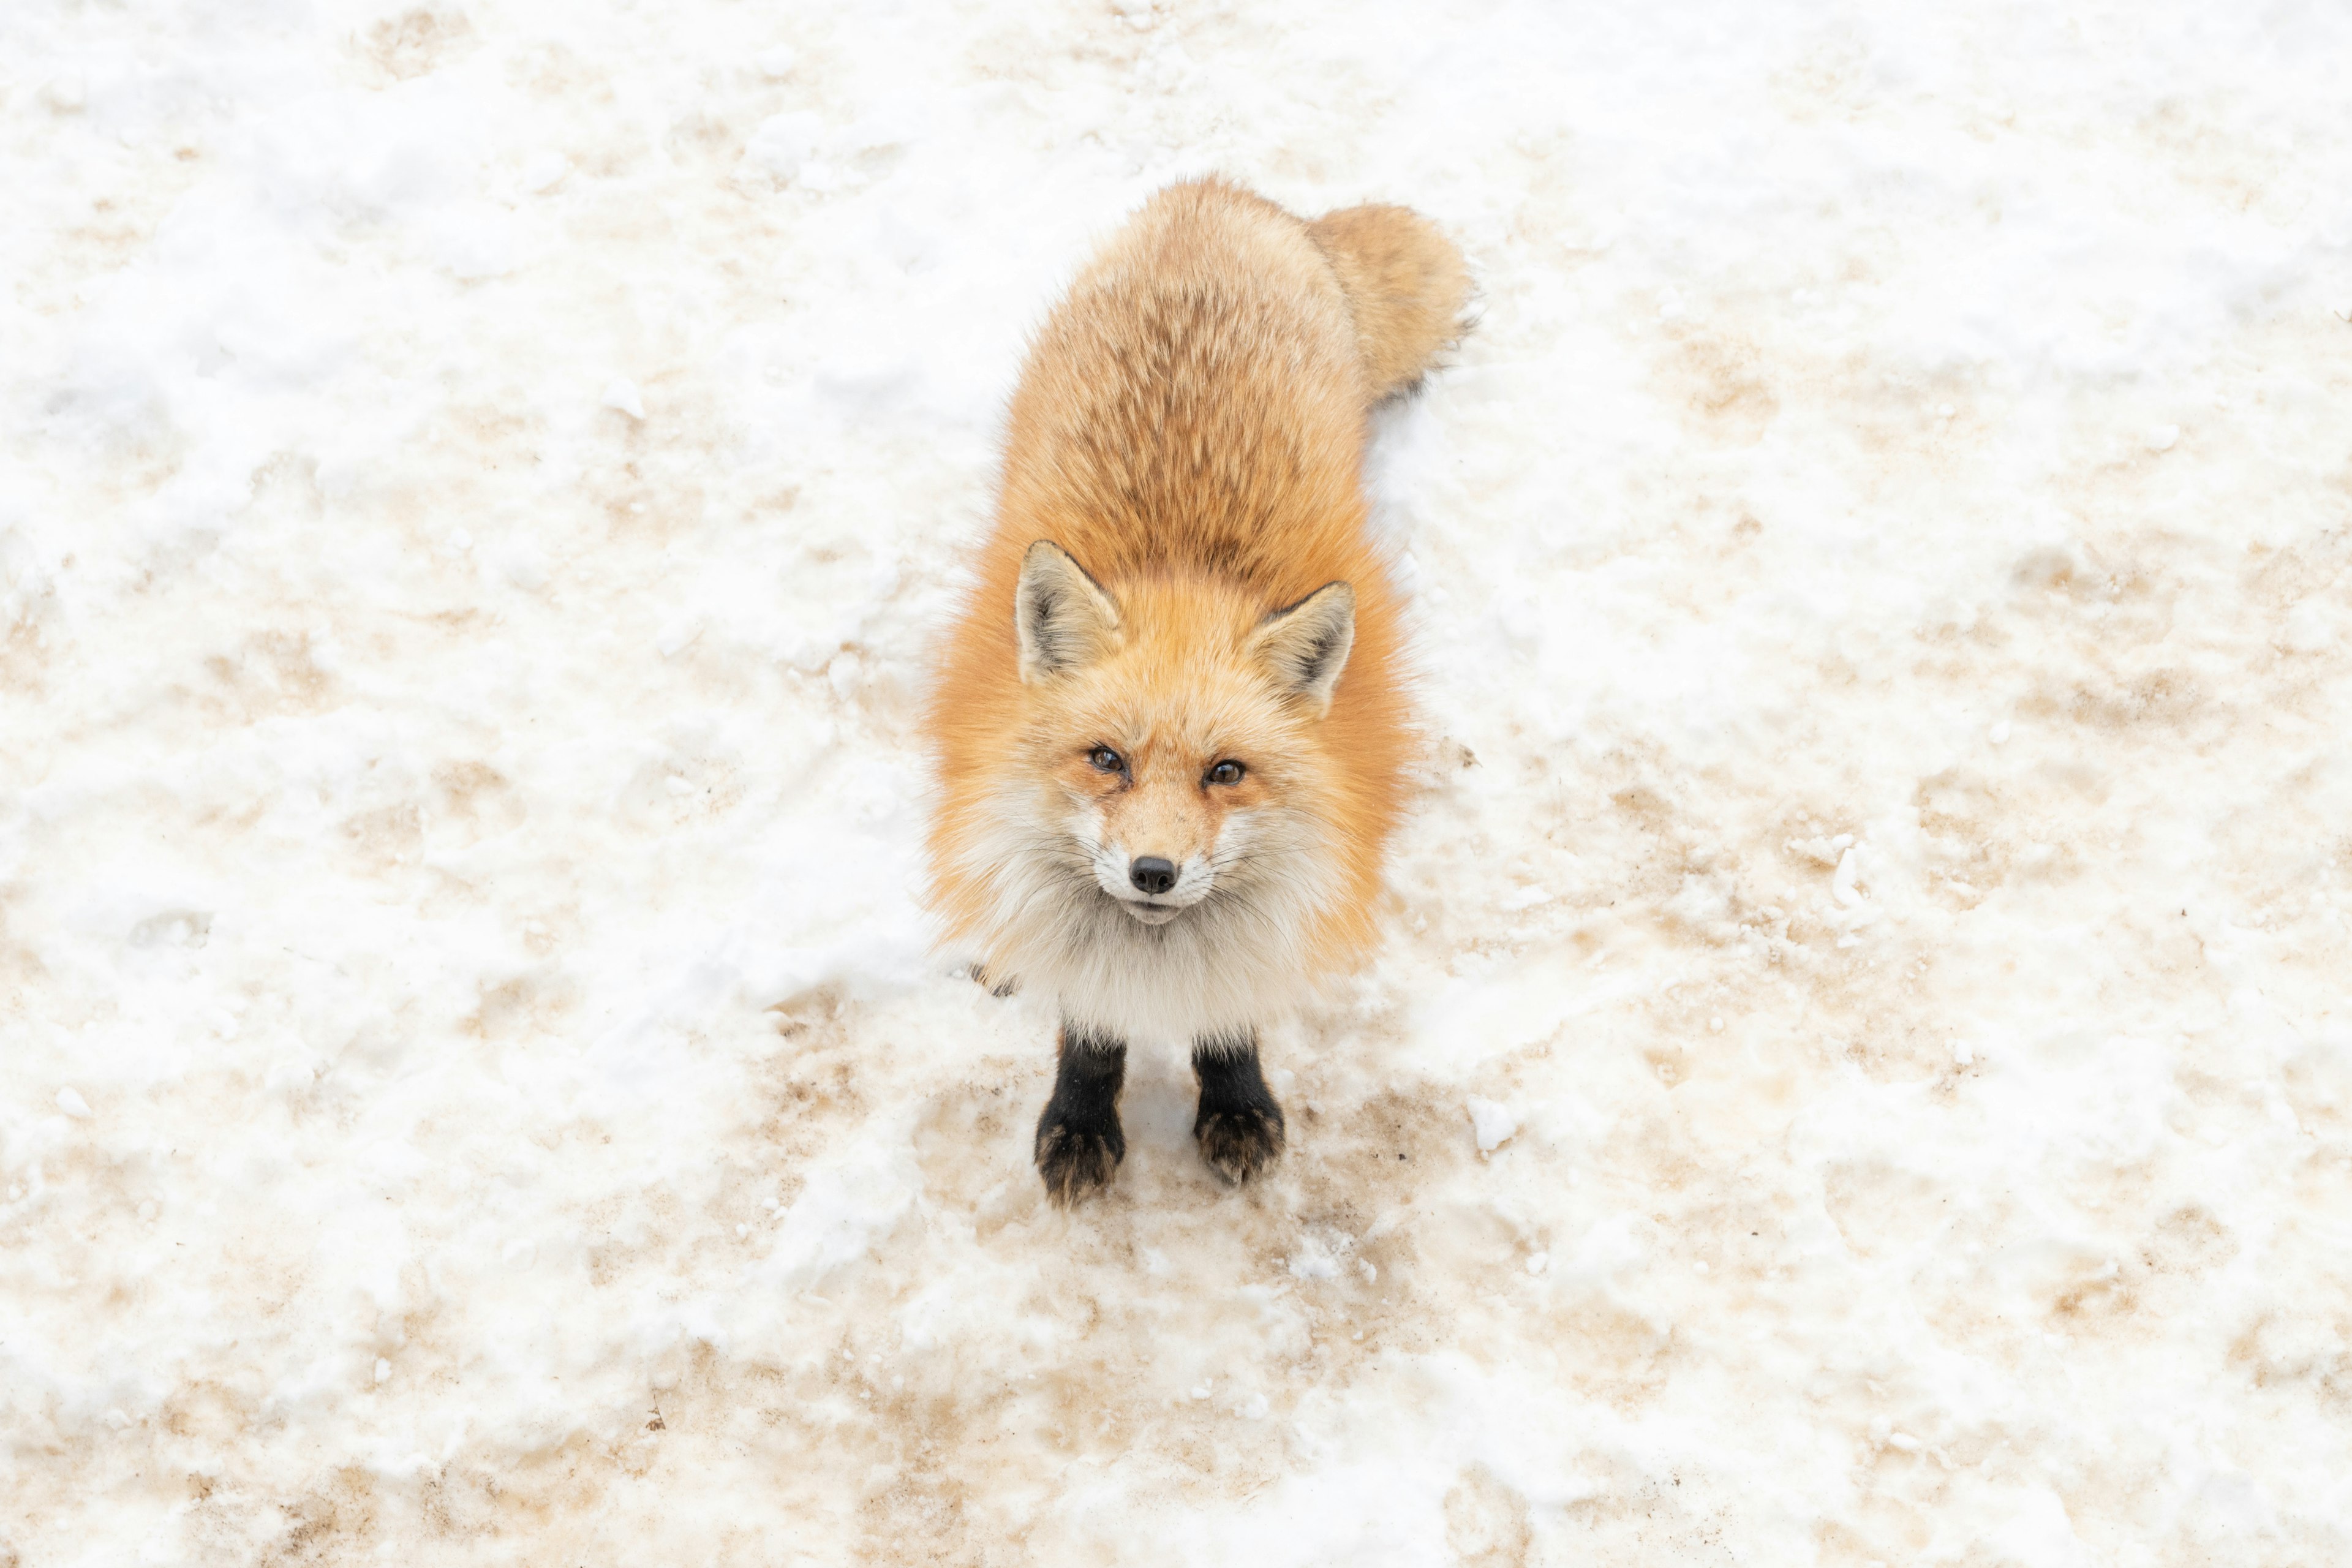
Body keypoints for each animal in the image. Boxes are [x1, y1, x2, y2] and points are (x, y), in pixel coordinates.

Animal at [922, 175, 1458, 1204]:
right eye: (1105, 760)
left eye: (1228, 772)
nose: (1153, 873)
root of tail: (1220, 194)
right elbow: (1090, 1032)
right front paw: (1082, 1120)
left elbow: (1229, 1019)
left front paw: (1237, 1105)